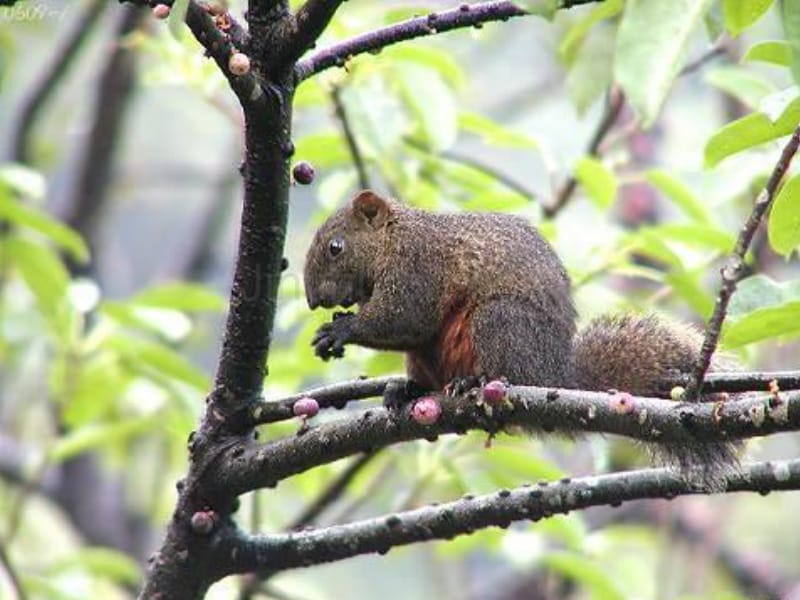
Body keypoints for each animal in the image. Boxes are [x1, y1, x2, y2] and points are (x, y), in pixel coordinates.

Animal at [304, 191, 740, 482]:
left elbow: (405, 320)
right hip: (429, 355)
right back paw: (408, 390)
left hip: (498, 323)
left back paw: (470, 382)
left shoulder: (417, 268)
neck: (392, 239)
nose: (311, 300)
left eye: (336, 247)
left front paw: (341, 328)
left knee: (502, 369)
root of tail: (554, 377)